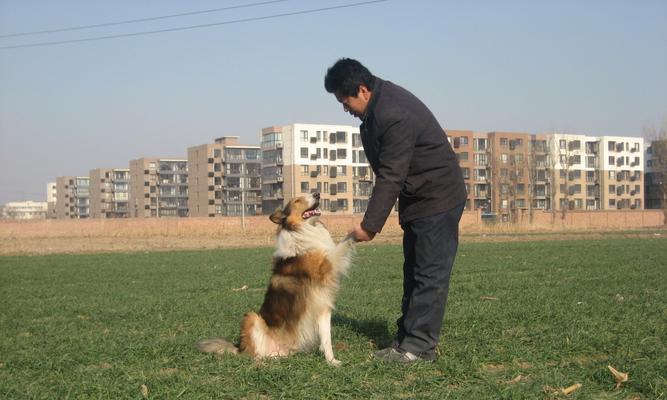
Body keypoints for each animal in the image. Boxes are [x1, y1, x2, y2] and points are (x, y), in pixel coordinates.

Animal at [196, 192, 354, 368]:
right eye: (297, 200)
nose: (317, 193)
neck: (303, 229)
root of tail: (239, 348)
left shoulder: (323, 307)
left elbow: (326, 340)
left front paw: (332, 361)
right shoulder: (324, 267)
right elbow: (341, 246)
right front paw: (357, 231)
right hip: (252, 317)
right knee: (254, 355)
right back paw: (260, 363)